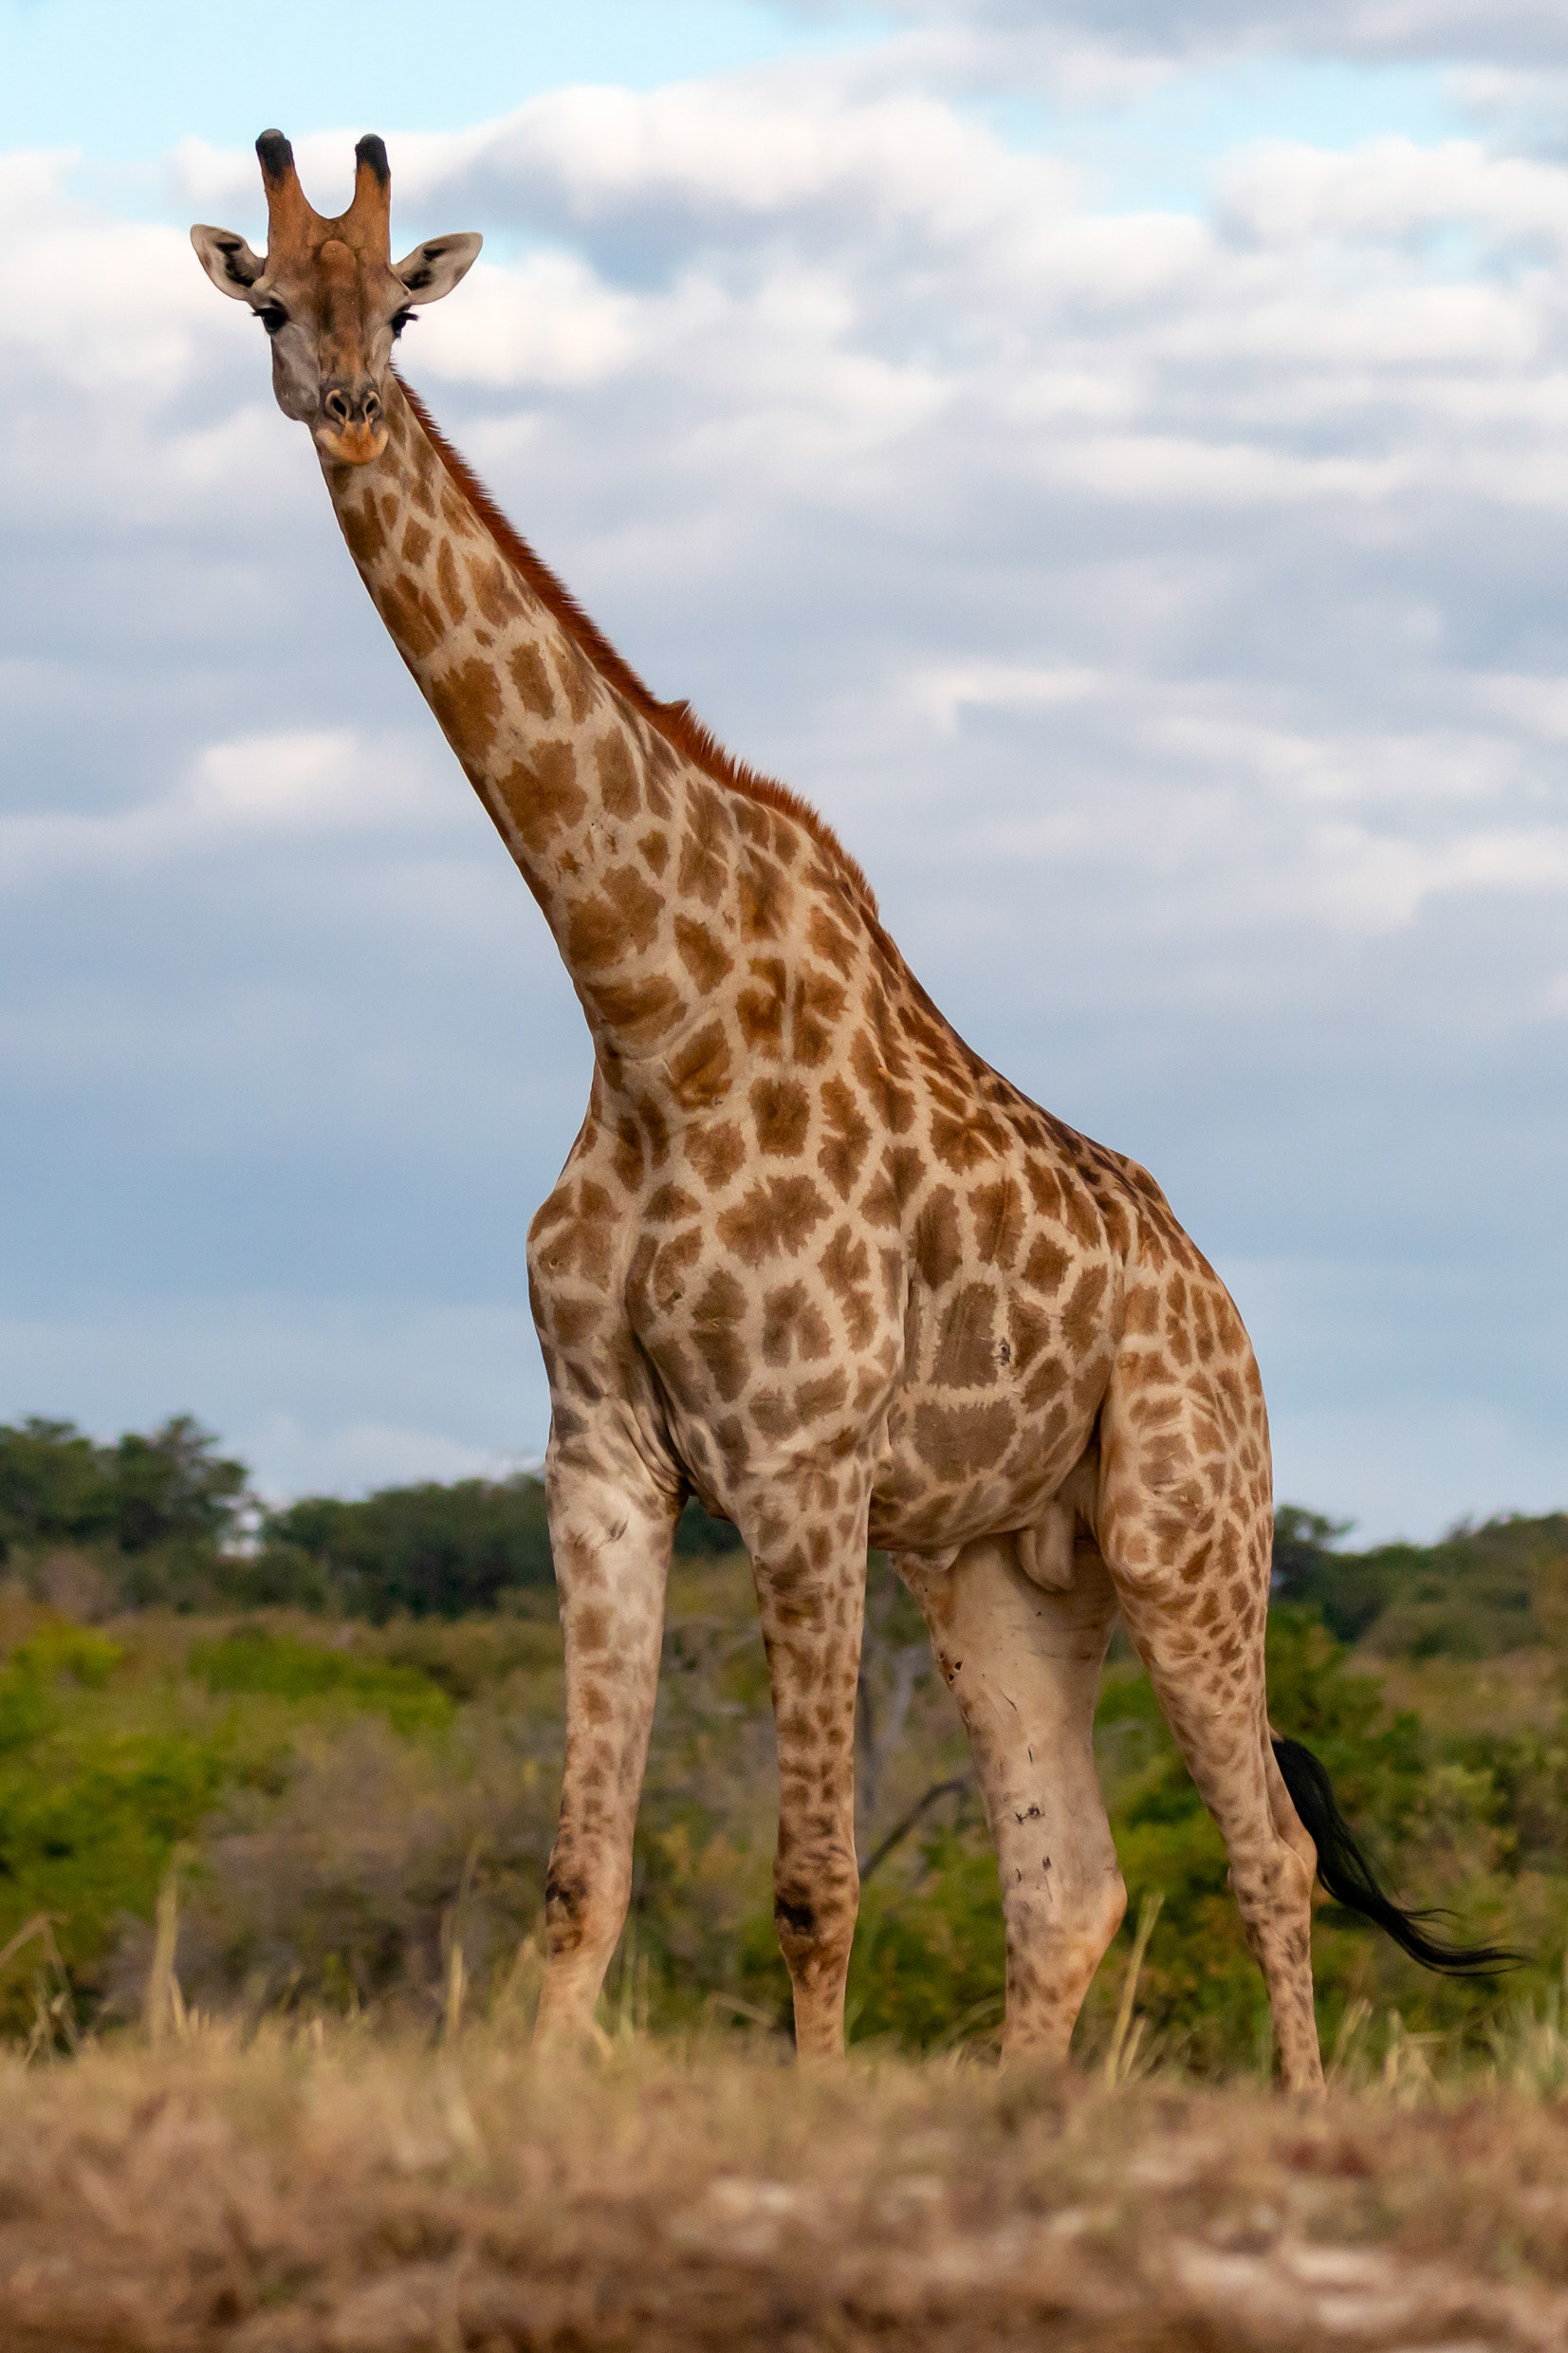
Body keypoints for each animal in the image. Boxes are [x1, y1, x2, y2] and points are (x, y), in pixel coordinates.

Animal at [192, 133, 1513, 2091]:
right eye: (274, 305)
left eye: (403, 309)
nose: (348, 409)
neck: (646, 1020)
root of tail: (1220, 1305)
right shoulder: (600, 1454)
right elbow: (579, 1876)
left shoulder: (798, 1461)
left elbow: (813, 1882)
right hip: (996, 1569)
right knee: (1070, 1881)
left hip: (1186, 1524)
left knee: (1264, 1850)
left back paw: (1290, 2107)